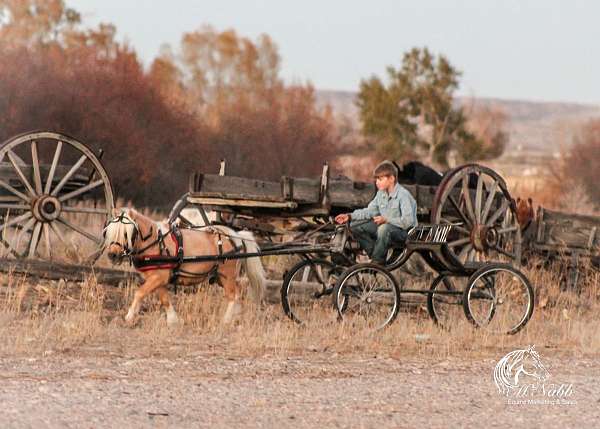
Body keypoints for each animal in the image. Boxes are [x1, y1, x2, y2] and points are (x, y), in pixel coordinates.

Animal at [104, 207, 266, 324]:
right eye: (109, 231)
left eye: (126, 233)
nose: (113, 255)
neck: (156, 242)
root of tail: (236, 237)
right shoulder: (158, 279)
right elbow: (164, 299)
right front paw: (173, 320)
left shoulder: (159, 277)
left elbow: (139, 293)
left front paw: (129, 316)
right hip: (221, 277)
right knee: (237, 294)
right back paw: (235, 315)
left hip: (227, 275)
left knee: (233, 295)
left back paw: (226, 320)